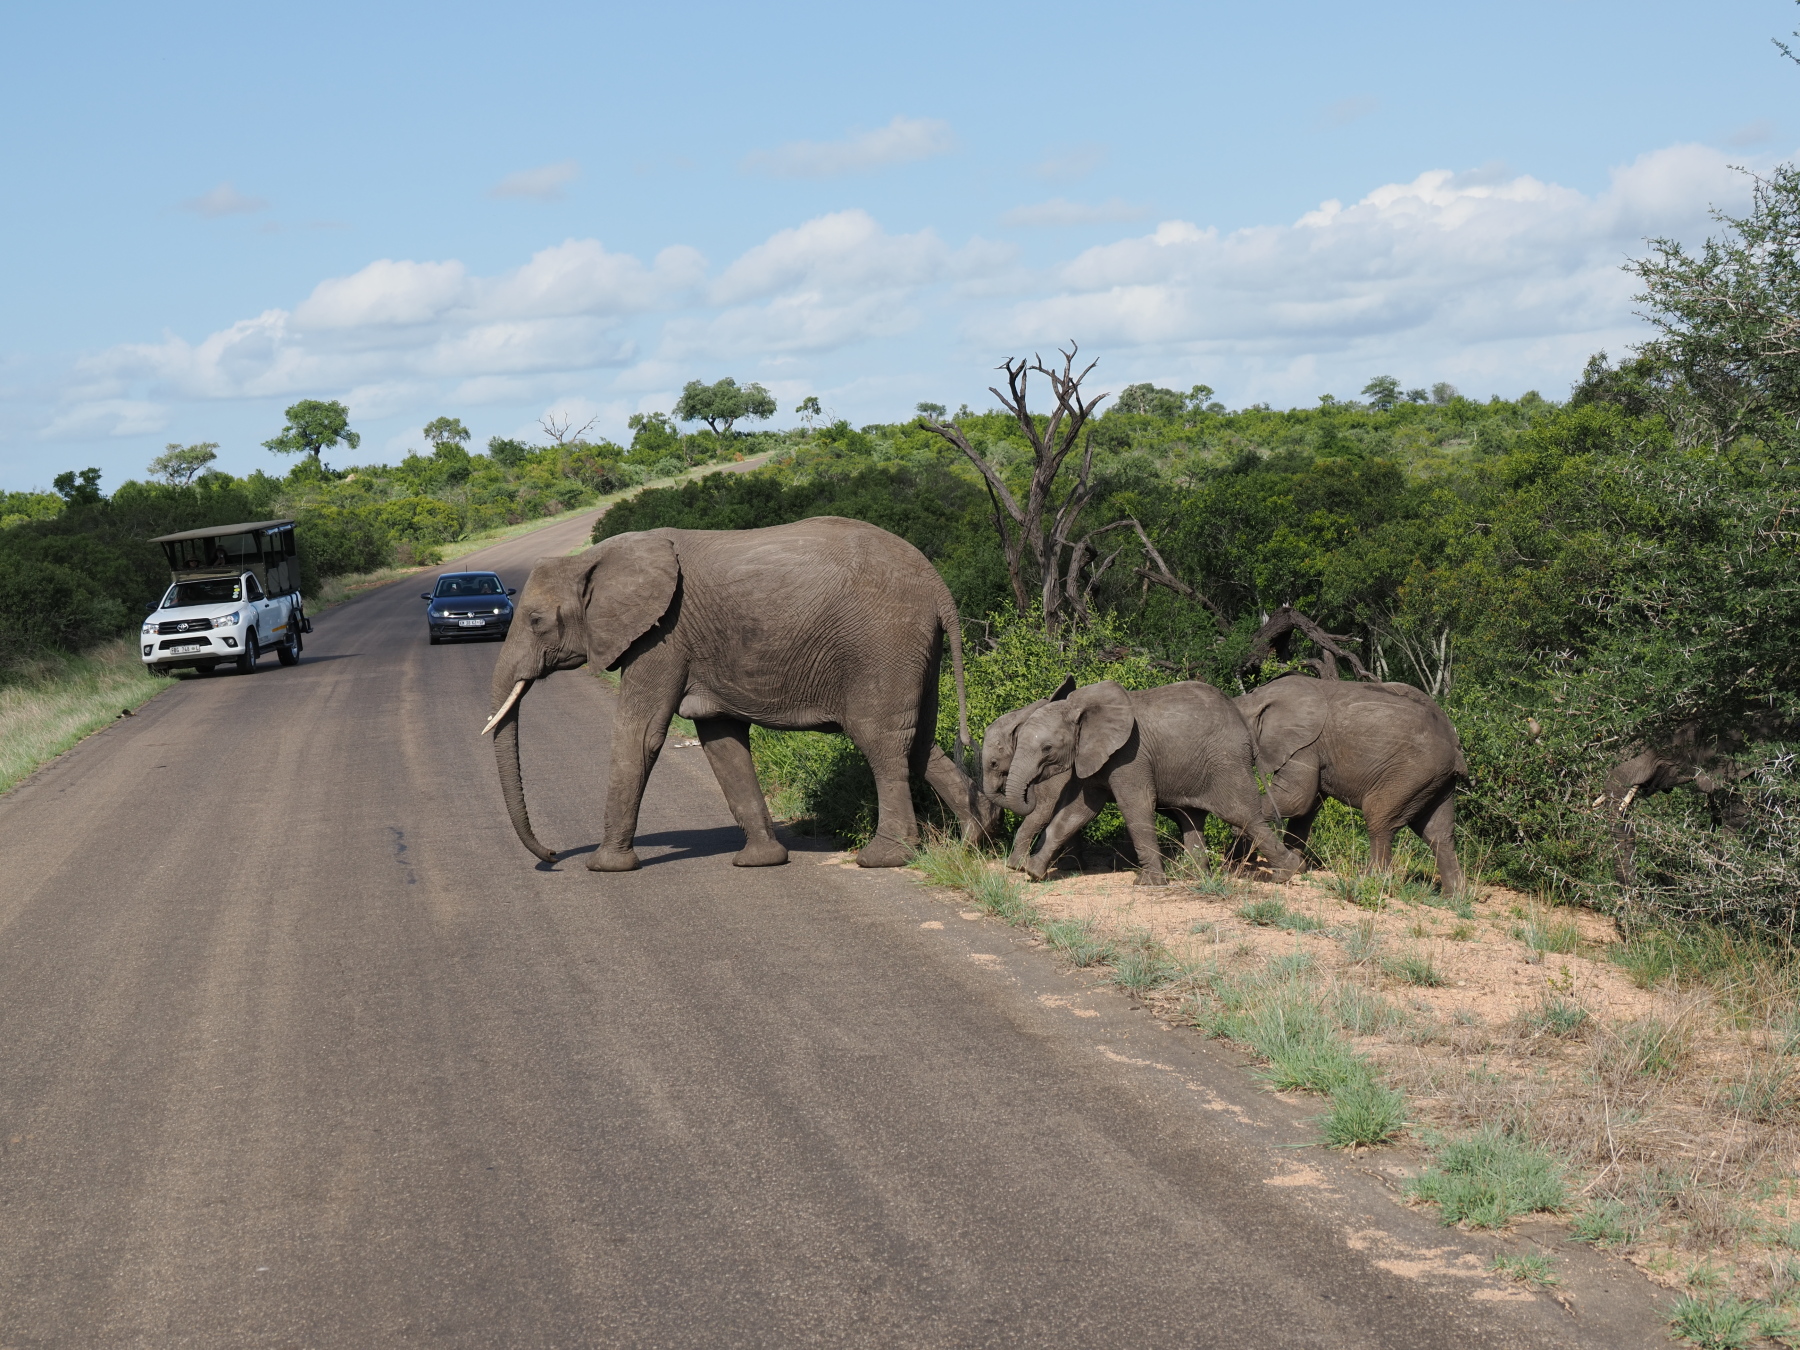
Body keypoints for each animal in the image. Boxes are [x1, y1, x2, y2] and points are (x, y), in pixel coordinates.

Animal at [482, 517, 992, 872]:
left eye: (535, 621)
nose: (551, 854)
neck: (592, 558)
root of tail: (937, 583)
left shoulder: (662, 636)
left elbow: (640, 735)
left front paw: (606, 867)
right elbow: (720, 742)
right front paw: (761, 861)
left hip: (882, 642)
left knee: (881, 741)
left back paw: (884, 858)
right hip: (913, 647)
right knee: (920, 743)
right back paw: (975, 840)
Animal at [993, 679, 1305, 886]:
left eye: (1047, 749)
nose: (1032, 788)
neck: (1079, 706)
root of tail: (1244, 725)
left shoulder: (1130, 756)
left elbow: (1136, 807)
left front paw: (1150, 883)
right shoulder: (1094, 757)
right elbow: (1076, 813)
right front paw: (1032, 872)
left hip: (1226, 762)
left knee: (1242, 816)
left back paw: (1287, 872)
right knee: (1192, 817)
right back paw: (1193, 876)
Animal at [1234, 674, 1467, 891]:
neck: (1256, 699)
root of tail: (1456, 748)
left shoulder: (1305, 747)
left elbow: (1294, 800)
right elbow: (1305, 810)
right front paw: (1297, 866)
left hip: (1412, 772)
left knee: (1379, 818)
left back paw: (1370, 882)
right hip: (1436, 780)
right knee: (1438, 834)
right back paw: (1454, 897)